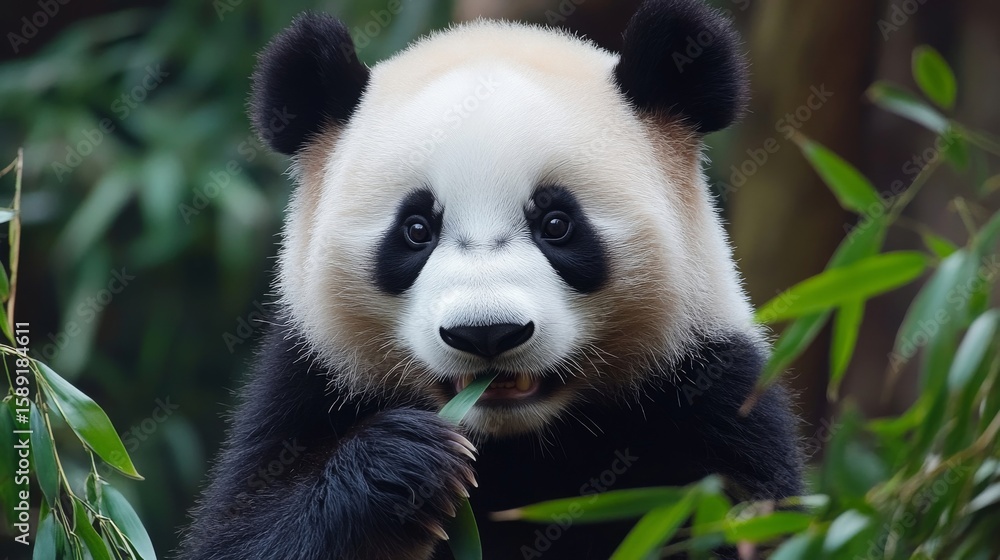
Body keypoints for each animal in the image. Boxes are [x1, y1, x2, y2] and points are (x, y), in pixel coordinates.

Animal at [179, 0, 802, 558]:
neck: (515, 442)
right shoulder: (305, 388)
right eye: (416, 229)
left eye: (556, 224)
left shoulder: (711, 398)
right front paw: (401, 466)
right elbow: (243, 532)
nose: (487, 334)